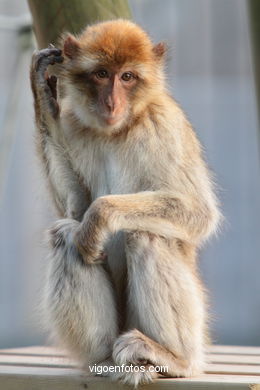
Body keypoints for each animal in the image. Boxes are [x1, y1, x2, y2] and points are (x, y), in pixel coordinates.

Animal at [31, 19, 221, 386]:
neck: (118, 130)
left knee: (145, 235)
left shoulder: (163, 124)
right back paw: (105, 359)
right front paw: (44, 99)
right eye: (102, 74)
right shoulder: (75, 124)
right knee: (66, 235)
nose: (112, 103)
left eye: (128, 77)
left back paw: (175, 359)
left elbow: (198, 212)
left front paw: (100, 216)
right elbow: (74, 209)